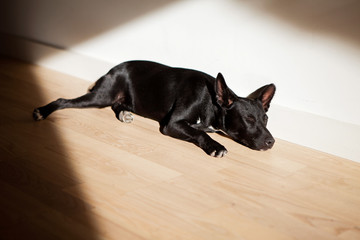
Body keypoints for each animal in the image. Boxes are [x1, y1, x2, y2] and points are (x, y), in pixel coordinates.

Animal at [33, 61, 276, 157]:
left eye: (265, 119)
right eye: (248, 119)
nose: (271, 142)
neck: (211, 102)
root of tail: (114, 68)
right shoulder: (172, 124)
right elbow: (199, 133)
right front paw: (216, 146)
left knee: (118, 104)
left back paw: (124, 113)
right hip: (100, 96)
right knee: (64, 100)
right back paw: (42, 111)